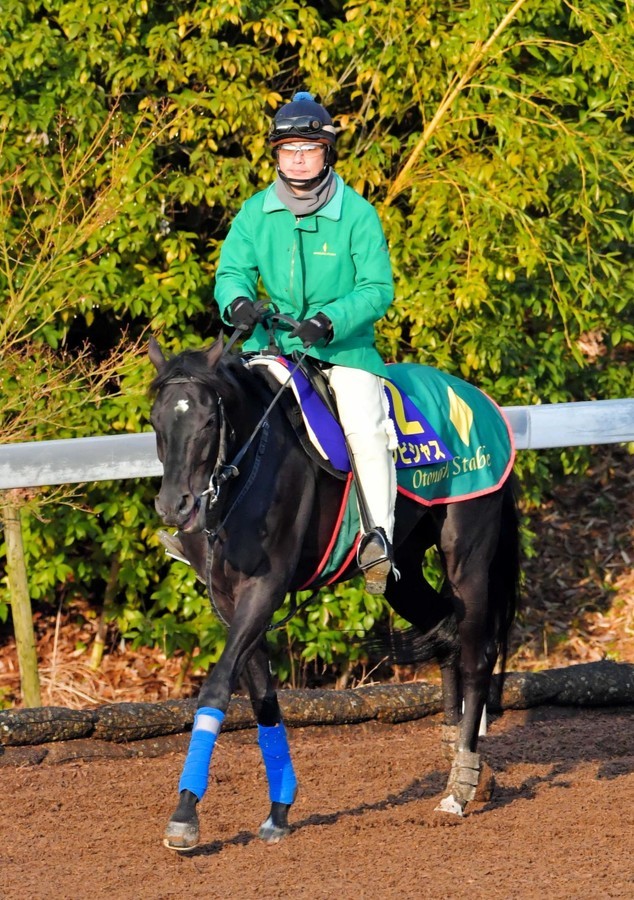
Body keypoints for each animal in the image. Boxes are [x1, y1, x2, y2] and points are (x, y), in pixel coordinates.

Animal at [148, 330, 520, 850]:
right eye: (155, 420)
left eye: (206, 421)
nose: (173, 506)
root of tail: (481, 401)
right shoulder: (229, 598)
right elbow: (263, 700)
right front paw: (279, 810)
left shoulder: (264, 588)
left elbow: (218, 688)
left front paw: (184, 814)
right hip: (401, 571)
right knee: (447, 636)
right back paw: (468, 769)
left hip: (467, 552)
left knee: (476, 656)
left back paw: (460, 788)